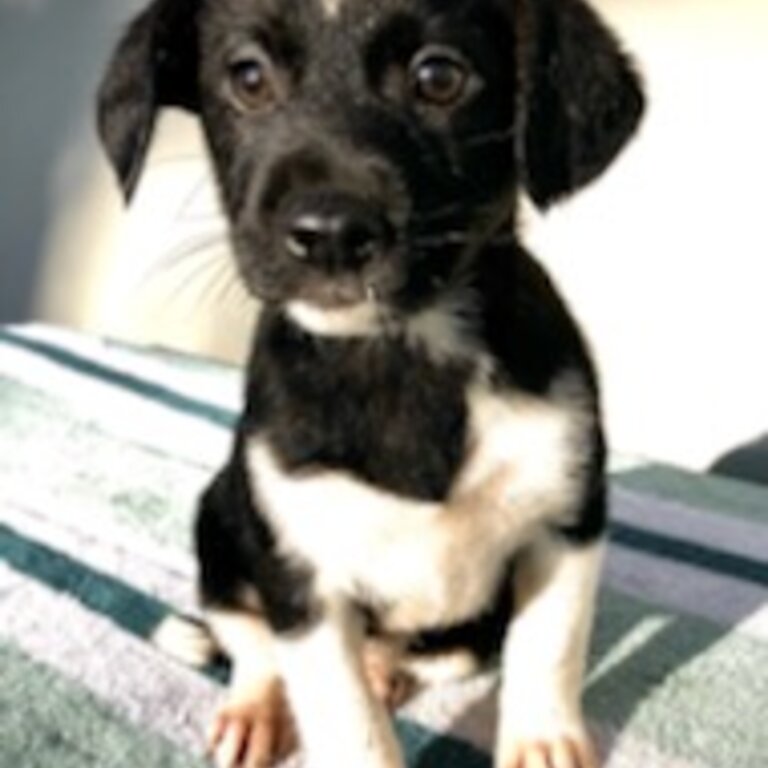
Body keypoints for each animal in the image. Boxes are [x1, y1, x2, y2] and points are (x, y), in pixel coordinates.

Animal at [99, 1, 644, 768]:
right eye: (247, 77)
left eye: (439, 76)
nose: (330, 233)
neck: (405, 355)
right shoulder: (302, 579)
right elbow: (344, 719)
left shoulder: (565, 523)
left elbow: (550, 650)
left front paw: (544, 742)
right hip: (221, 521)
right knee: (250, 642)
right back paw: (258, 707)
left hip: (466, 628)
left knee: (429, 655)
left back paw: (388, 669)